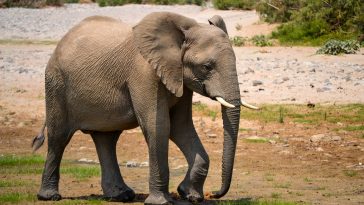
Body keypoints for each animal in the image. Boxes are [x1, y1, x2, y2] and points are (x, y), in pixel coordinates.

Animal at [32, 12, 258, 204]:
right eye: (207, 67)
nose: (216, 194)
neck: (184, 29)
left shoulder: (180, 78)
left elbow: (181, 127)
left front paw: (190, 196)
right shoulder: (144, 74)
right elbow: (159, 127)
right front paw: (162, 201)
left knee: (106, 139)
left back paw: (121, 196)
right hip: (56, 83)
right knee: (59, 138)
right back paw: (49, 196)